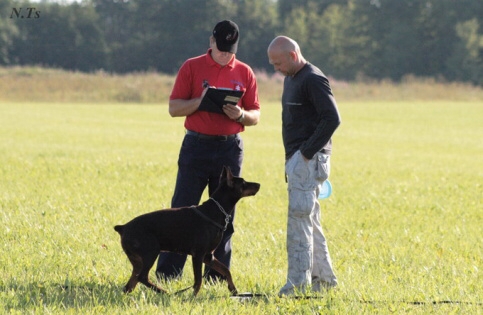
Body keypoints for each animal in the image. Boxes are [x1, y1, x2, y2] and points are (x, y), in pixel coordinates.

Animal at [114, 167, 260, 298]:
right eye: (243, 182)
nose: (259, 184)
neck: (215, 210)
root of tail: (123, 227)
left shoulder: (208, 256)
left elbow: (226, 270)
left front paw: (233, 289)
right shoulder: (198, 254)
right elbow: (198, 280)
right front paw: (193, 297)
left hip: (138, 260)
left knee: (131, 283)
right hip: (150, 252)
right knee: (142, 277)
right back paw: (164, 292)